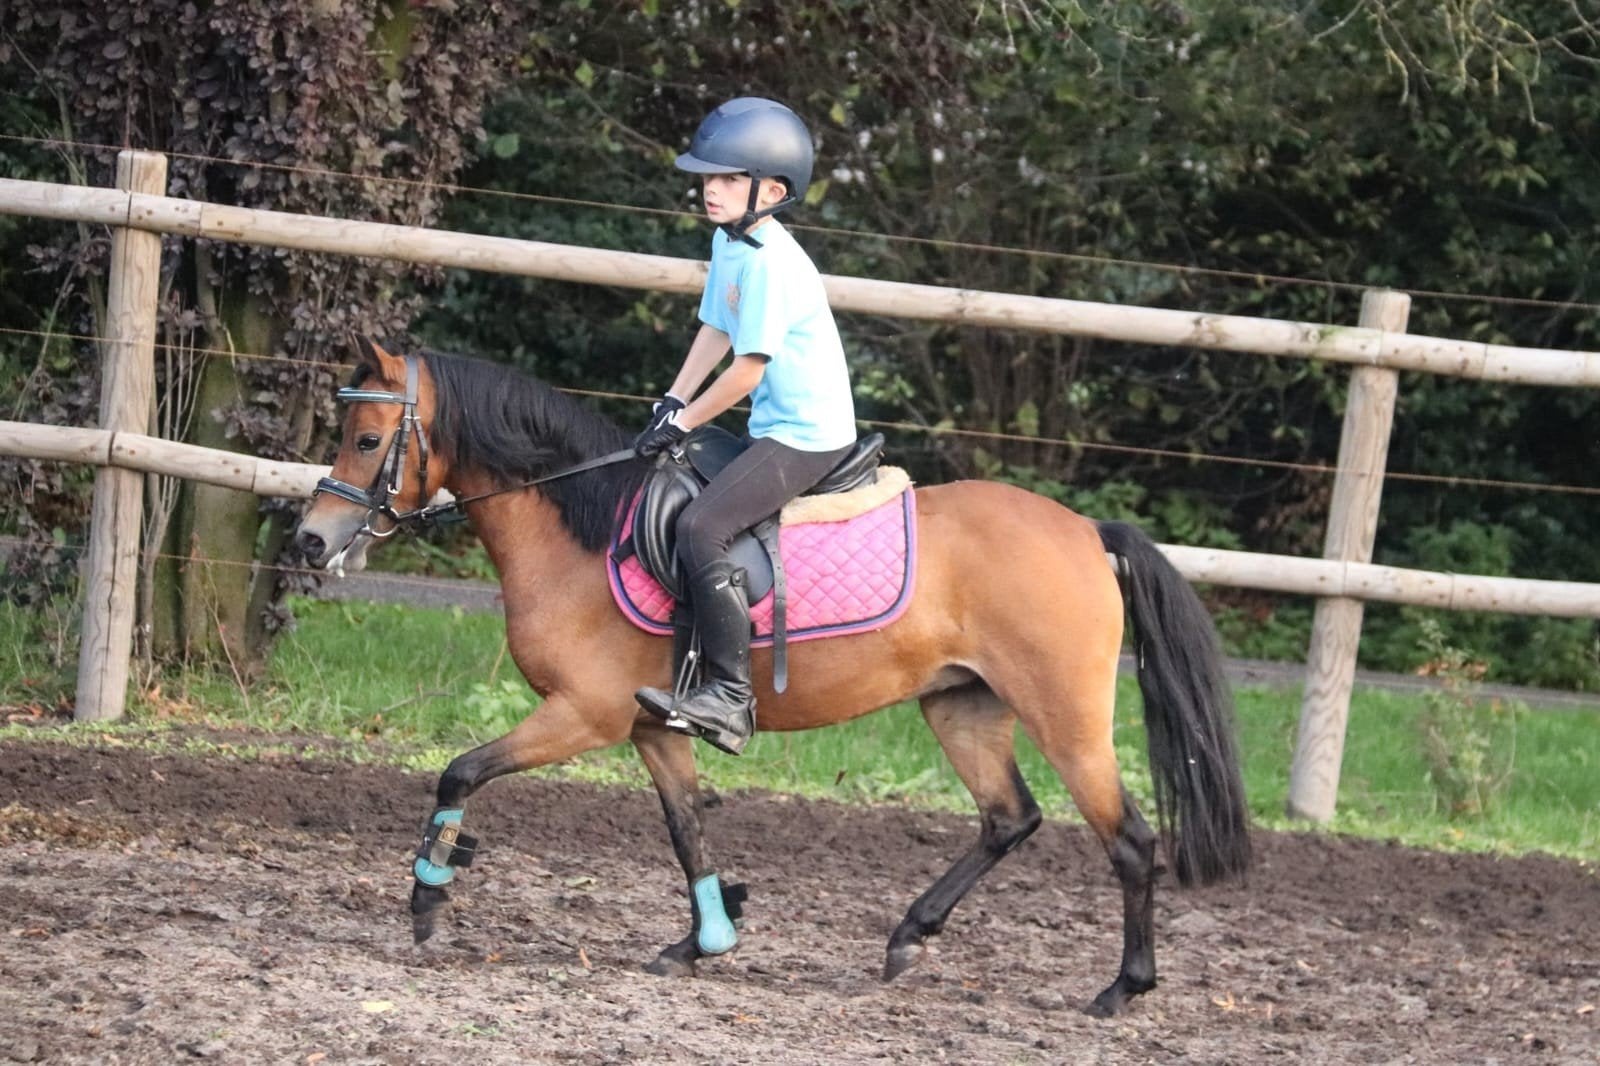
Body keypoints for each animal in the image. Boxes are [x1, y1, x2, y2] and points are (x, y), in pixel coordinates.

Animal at [294, 337, 1251, 1017]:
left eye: (368, 439)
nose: (308, 539)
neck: (584, 531)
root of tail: (1086, 531)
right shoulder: (652, 728)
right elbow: (687, 831)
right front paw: (705, 940)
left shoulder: (583, 716)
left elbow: (459, 772)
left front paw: (427, 900)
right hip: (962, 706)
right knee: (1008, 818)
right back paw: (909, 937)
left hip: (1066, 715)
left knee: (1129, 840)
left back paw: (1121, 989)